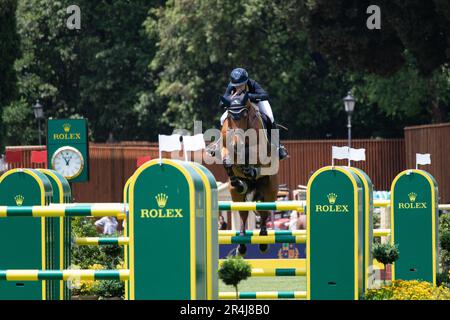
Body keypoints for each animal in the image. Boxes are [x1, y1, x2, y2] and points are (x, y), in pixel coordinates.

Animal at [220, 92, 280, 255]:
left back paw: (263, 240)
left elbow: (250, 155)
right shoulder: (226, 149)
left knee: (264, 213)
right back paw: (241, 243)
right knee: (243, 213)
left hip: (270, 190)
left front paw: (250, 169)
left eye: (245, 115)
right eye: (229, 115)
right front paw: (239, 181)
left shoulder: (260, 151)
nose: (236, 144)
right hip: (235, 195)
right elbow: (227, 161)